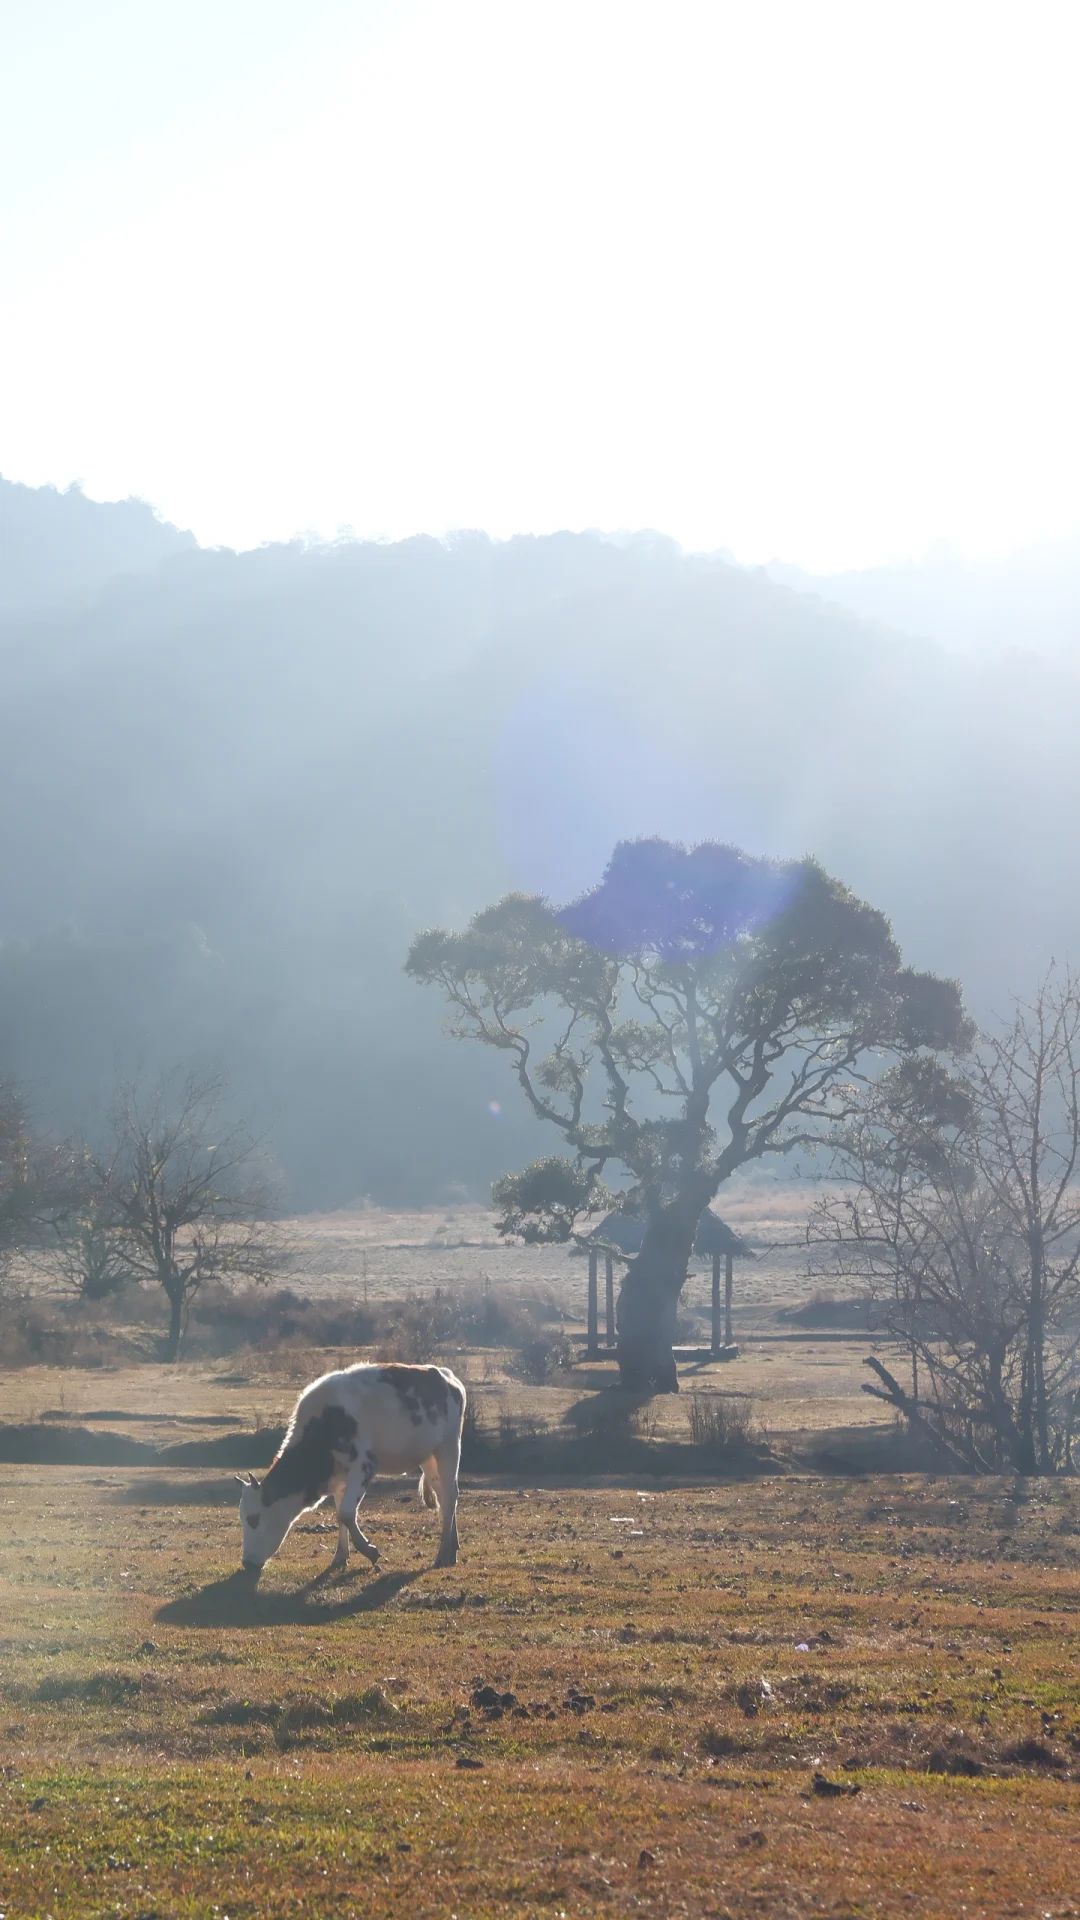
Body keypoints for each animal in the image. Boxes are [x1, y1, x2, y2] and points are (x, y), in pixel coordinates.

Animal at [235, 1351, 463, 1574]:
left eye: (253, 1519)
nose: (247, 1562)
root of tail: (445, 1375)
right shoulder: (338, 1477)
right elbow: (339, 1515)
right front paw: (340, 1556)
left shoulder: (364, 1465)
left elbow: (345, 1513)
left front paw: (369, 1551)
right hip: (428, 1457)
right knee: (443, 1495)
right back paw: (453, 1547)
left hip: (449, 1446)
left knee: (450, 1496)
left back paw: (443, 1554)